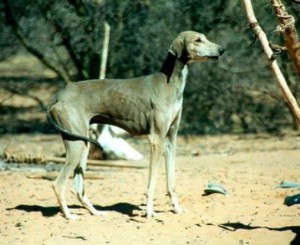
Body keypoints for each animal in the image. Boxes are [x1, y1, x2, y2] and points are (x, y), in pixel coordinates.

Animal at [47, 30, 224, 220]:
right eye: (198, 40)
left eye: (205, 37)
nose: (222, 50)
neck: (169, 82)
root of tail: (60, 93)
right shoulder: (156, 140)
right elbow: (152, 182)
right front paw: (149, 212)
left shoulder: (170, 140)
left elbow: (171, 181)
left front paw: (176, 208)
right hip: (77, 145)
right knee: (57, 184)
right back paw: (69, 216)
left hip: (83, 144)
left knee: (78, 189)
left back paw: (96, 212)